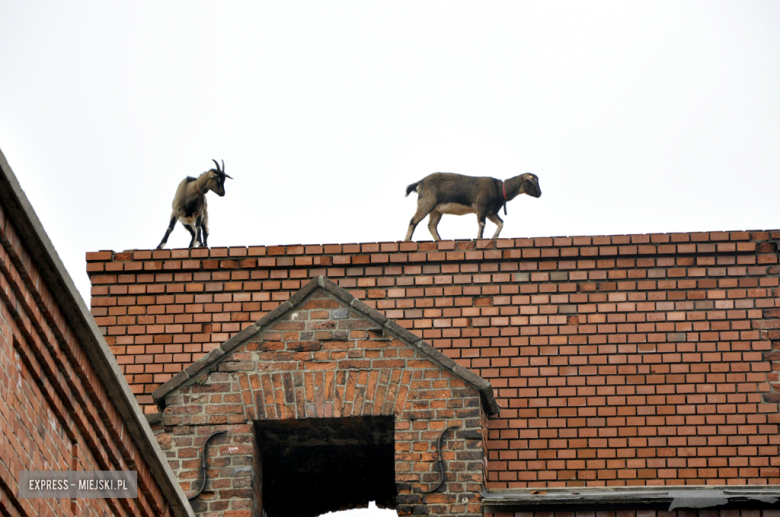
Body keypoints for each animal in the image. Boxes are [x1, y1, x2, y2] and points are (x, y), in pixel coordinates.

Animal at [406, 171, 540, 240]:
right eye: (533, 182)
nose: (540, 193)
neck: (499, 189)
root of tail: (419, 183)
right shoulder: (481, 206)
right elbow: (482, 224)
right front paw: (479, 239)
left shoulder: (491, 212)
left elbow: (501, 223)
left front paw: (494, 237)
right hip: (426, 203)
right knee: (413, 221)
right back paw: (407, 240)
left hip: (436, 210)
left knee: (432, 226)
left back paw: (439, 241)